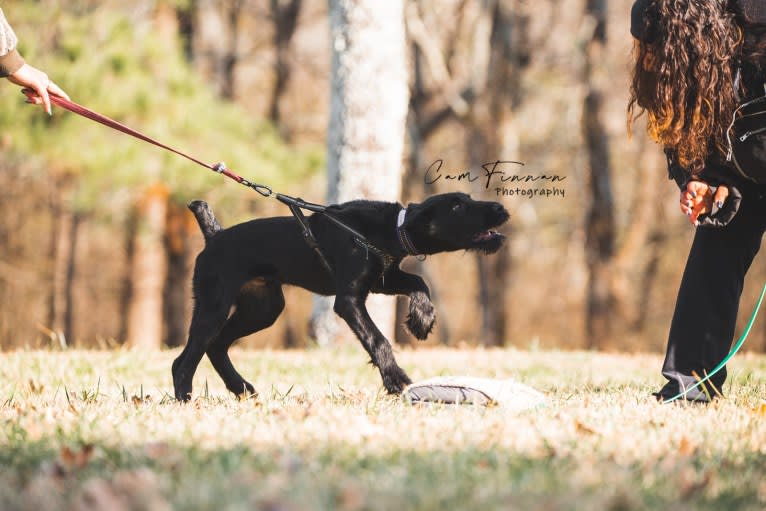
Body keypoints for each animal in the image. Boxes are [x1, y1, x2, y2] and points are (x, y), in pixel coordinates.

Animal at [173, 191, 510, 400]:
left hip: (263, 309)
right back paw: (186, 400)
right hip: (214, 306)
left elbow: (418, 281)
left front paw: (422, 319)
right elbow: (378, 339)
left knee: (216, 345)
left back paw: (241, 388)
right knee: (184, 360)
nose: (500, 208)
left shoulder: (382, 280)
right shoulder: (349, 300)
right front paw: (395, 379)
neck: (390, 228)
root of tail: (215, 236)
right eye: (457, 206)